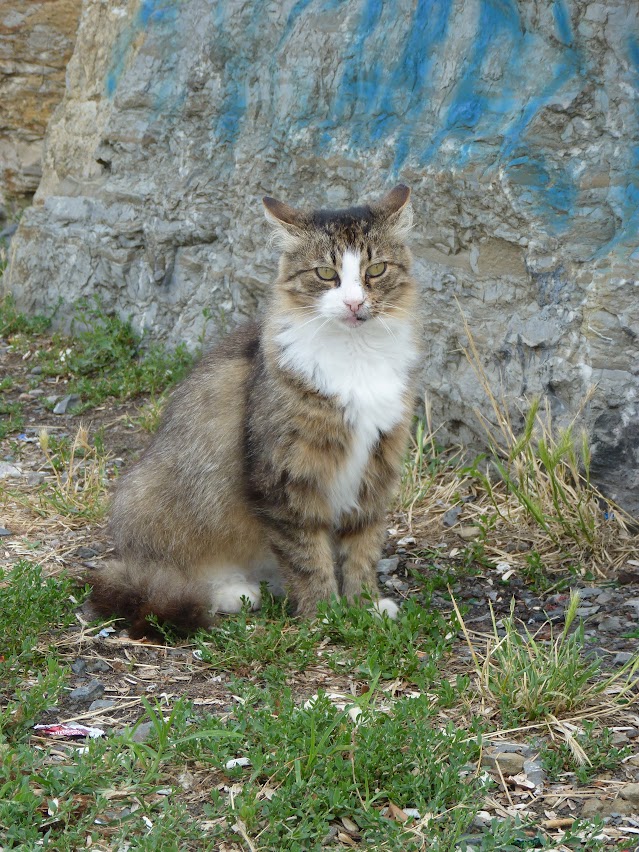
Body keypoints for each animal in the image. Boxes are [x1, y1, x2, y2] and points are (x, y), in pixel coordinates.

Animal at [90, 188, 420, 640]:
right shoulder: (284, 478)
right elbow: (307, 558)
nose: (354, 303)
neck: (356, 360)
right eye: (325, 274)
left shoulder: (375, 471)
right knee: (169, 576)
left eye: (376, 270)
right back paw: (234, 592)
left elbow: (362, 550)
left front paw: (364, 606)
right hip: (155, 507)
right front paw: (325, 614)